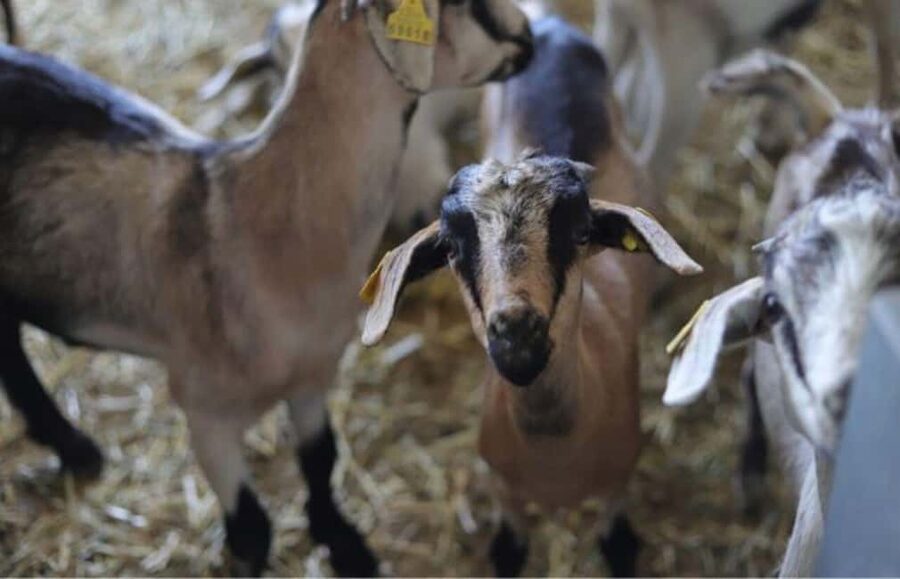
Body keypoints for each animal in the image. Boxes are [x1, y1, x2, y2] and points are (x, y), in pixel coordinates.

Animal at [362, 18, 702, 576]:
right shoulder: (505, 496)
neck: (553, 452)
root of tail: (550, 26)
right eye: (452, 247)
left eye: (582, 231)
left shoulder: (618, 485)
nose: (517, 332)